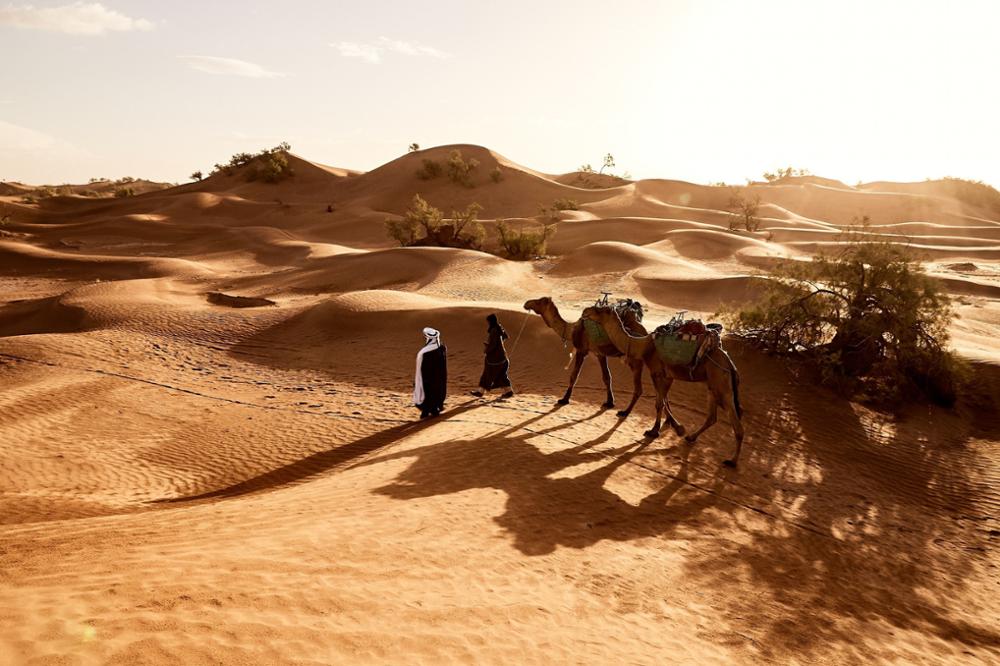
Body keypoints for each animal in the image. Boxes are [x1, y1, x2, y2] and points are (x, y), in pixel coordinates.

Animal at [584, 304, 748, 464]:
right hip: (712, 386)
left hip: (722, 384)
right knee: (712, 417)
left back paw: (732, 461)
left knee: (736, 423)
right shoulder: (667, 376)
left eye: (602, 310)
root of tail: (730, 365)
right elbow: (662, 401)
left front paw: (653, 431)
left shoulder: (657, 372)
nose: (586, 311)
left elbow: (659, 403)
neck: (644, 346)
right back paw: (691, 437)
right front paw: (675, 427)